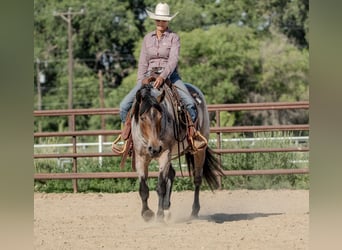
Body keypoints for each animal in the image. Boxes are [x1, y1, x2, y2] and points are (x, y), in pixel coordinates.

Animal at [130, 81, 223, 222]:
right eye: (142, 117)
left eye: (160, 116)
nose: (155, 149)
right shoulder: (141, 157)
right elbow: (143, 187)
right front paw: (147, 213)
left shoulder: (164, 154)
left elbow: (161, 186)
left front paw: (159, 215)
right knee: (172, 173)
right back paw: (166, 207)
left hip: (199, 149)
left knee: (197, 179)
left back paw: (193, 211)